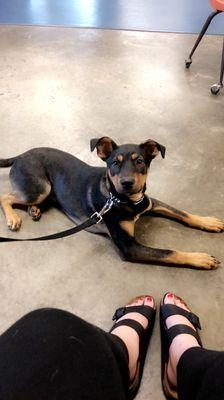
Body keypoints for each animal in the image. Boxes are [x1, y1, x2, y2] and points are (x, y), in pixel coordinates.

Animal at [0, 136, 222, 270]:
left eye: (140, 161)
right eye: (115, 162)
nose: (127, 183)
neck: (125, 200)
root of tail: (21, 155)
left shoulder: (151, 203)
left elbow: (182, 213)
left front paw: (208, 222)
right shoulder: (129, 246)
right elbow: (168, 252)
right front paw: (200, 258)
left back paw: (34, 210)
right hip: (41, 187)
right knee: (5, 196)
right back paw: (13, 218)